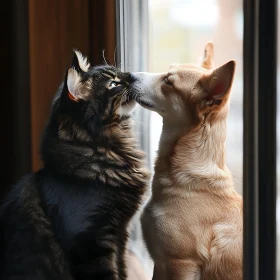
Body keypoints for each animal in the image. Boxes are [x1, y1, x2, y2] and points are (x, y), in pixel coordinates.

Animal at [0, 50, 150, 280]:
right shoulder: (89, 241)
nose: (132, 75)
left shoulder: (120, 236)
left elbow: (122, 269)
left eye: (121, 74)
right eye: (114, 83)